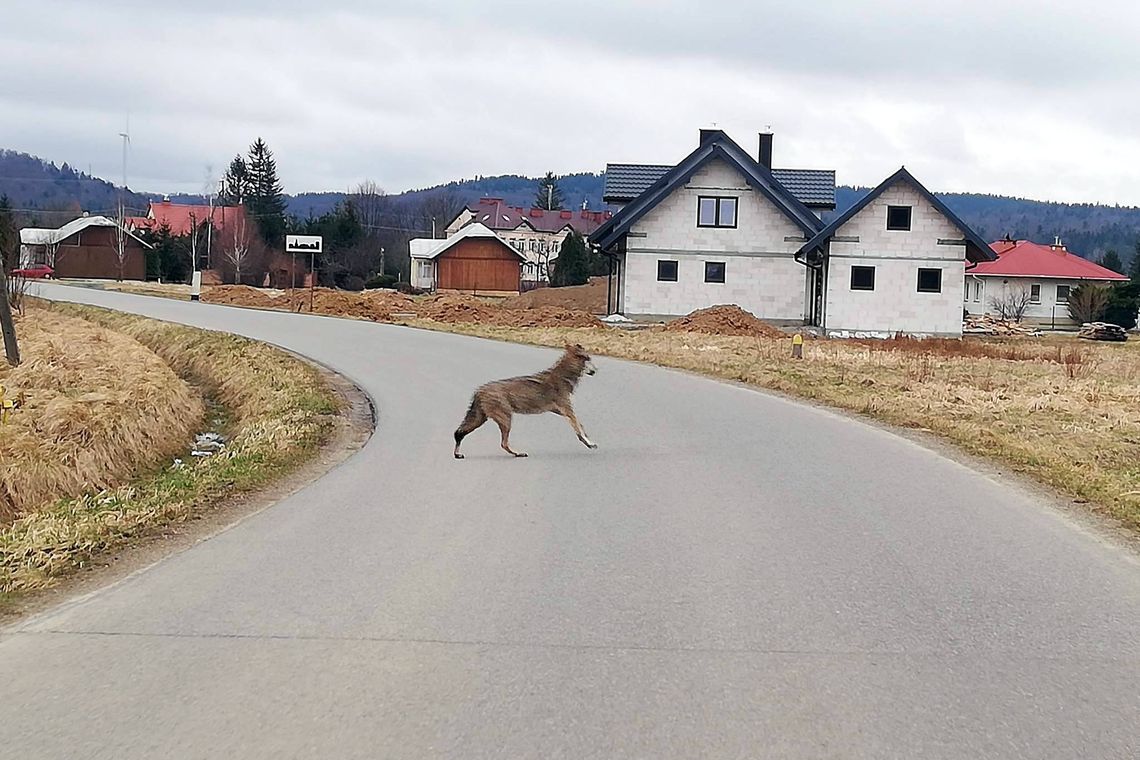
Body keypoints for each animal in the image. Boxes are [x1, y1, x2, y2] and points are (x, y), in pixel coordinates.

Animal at [451, 344, 601, 458]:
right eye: (588, 359)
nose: (596, 370)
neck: (564, 375)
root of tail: (479, 390)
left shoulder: (561, 411)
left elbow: (581, 426)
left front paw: (587, 441)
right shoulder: (567, 409)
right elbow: (579, 428)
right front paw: (589, 443)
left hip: (480, 419)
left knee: (459, 433)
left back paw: (458, 454)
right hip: (505, 419)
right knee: (503, 443)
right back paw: (518, 453)